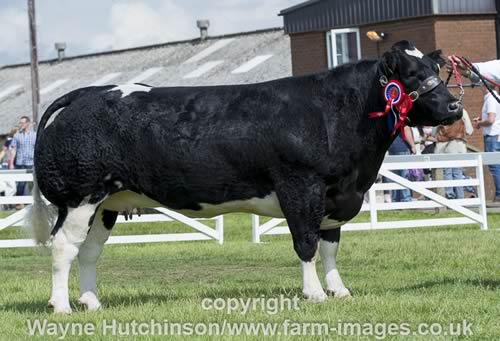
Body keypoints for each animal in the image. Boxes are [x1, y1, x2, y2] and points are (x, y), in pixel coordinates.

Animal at [29, 39, 460, 310]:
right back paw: (61, 306)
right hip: (79, 195)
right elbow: (306, 244)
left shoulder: (337, 194)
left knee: (89, 250)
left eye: (435, 67)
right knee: (63, 246)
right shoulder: (301, 185)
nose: (454, 106)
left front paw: (339, 290)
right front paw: (314, 294)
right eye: (409, 73)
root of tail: (87, 93)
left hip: (108, 202)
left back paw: (91, 302)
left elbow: (330, 245)